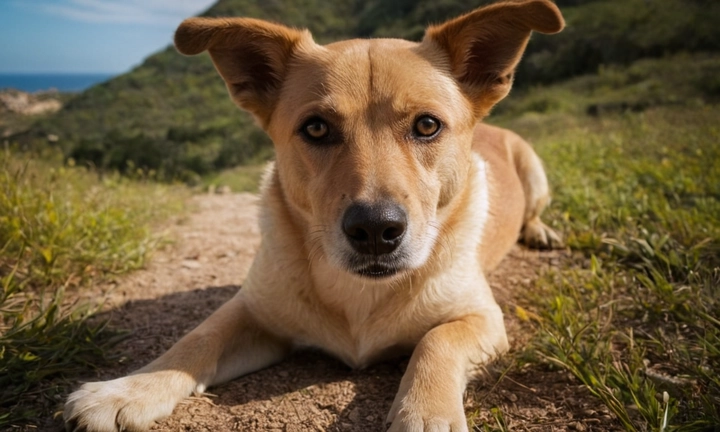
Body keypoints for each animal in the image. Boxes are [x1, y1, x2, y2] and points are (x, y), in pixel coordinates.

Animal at [64, 1, 564, 430]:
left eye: (427, 125)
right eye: (317, 128)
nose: (376, 230)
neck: (360, 293)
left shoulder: (483, 319)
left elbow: (436, 342)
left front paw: (426, 413)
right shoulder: (253, 312)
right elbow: (197, 338)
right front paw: (128, 390)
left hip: (535, 169)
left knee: (535, 211)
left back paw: (541, 232)